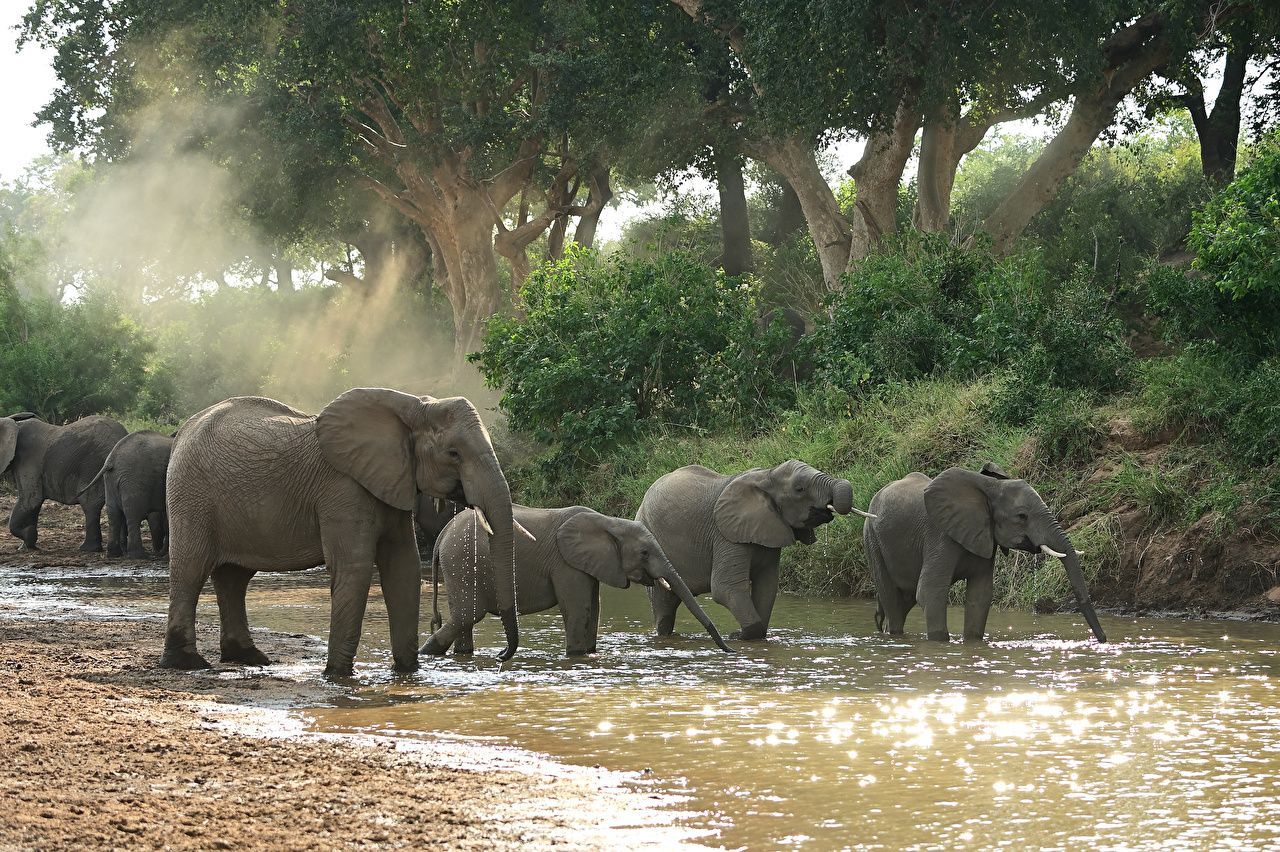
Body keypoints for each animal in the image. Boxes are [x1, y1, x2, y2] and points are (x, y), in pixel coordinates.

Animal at [0, 411, 128, 550]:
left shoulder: (28, 460)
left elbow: (31, 500)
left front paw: (30, 535)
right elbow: (34, 504)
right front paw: (27, 547)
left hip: (94, 463)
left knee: (90, 503)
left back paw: (87, 549)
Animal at [79, 424, 172, 557]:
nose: (159, 552)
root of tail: (111, 459)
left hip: (111, 480)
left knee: (114, 514)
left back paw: (114, 554)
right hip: (133, 480)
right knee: (133, 515)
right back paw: (139, 556)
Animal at [161, 388, 529, 675]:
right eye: (453, 453)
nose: (502, 656)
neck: (411, 407)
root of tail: (183, 431)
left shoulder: (392, 481)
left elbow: (404, 567)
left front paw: (408, 672)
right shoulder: (343, 489)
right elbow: (355, 567)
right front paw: (337, 675)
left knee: (234, 577)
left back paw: (249, 658)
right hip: (191, 494)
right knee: (191, 569)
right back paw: (188, 664)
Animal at [419, 504, 732, 654]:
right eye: (644, 553)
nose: (729, 650)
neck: (608, 521)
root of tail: (441, 535)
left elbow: (593, 608)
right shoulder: (565, 563)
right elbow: (579, 608)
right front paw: (577, 655)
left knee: (464, 618)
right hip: (462, 561)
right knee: (468, 614)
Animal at [865, 460, 1105, 639]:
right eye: (1022, 516)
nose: (1103, 639)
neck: (989, 486)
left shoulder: (984, 536)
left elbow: (980, 596)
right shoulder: (939, 535)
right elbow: (930, 592)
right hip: (872, 539)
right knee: (893, 601)